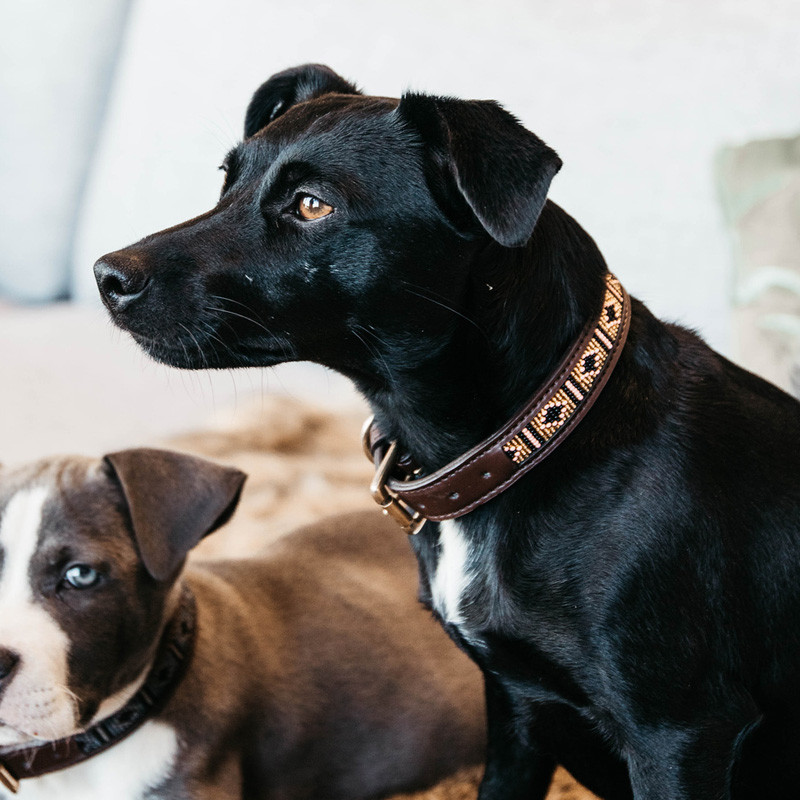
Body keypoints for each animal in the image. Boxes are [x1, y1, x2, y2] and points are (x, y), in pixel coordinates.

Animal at [92, 65, 800, 796]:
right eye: (227, 181)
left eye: (312, 205)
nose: (106, 275)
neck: (530, 437)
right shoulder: (516, 708)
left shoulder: (678, 733)